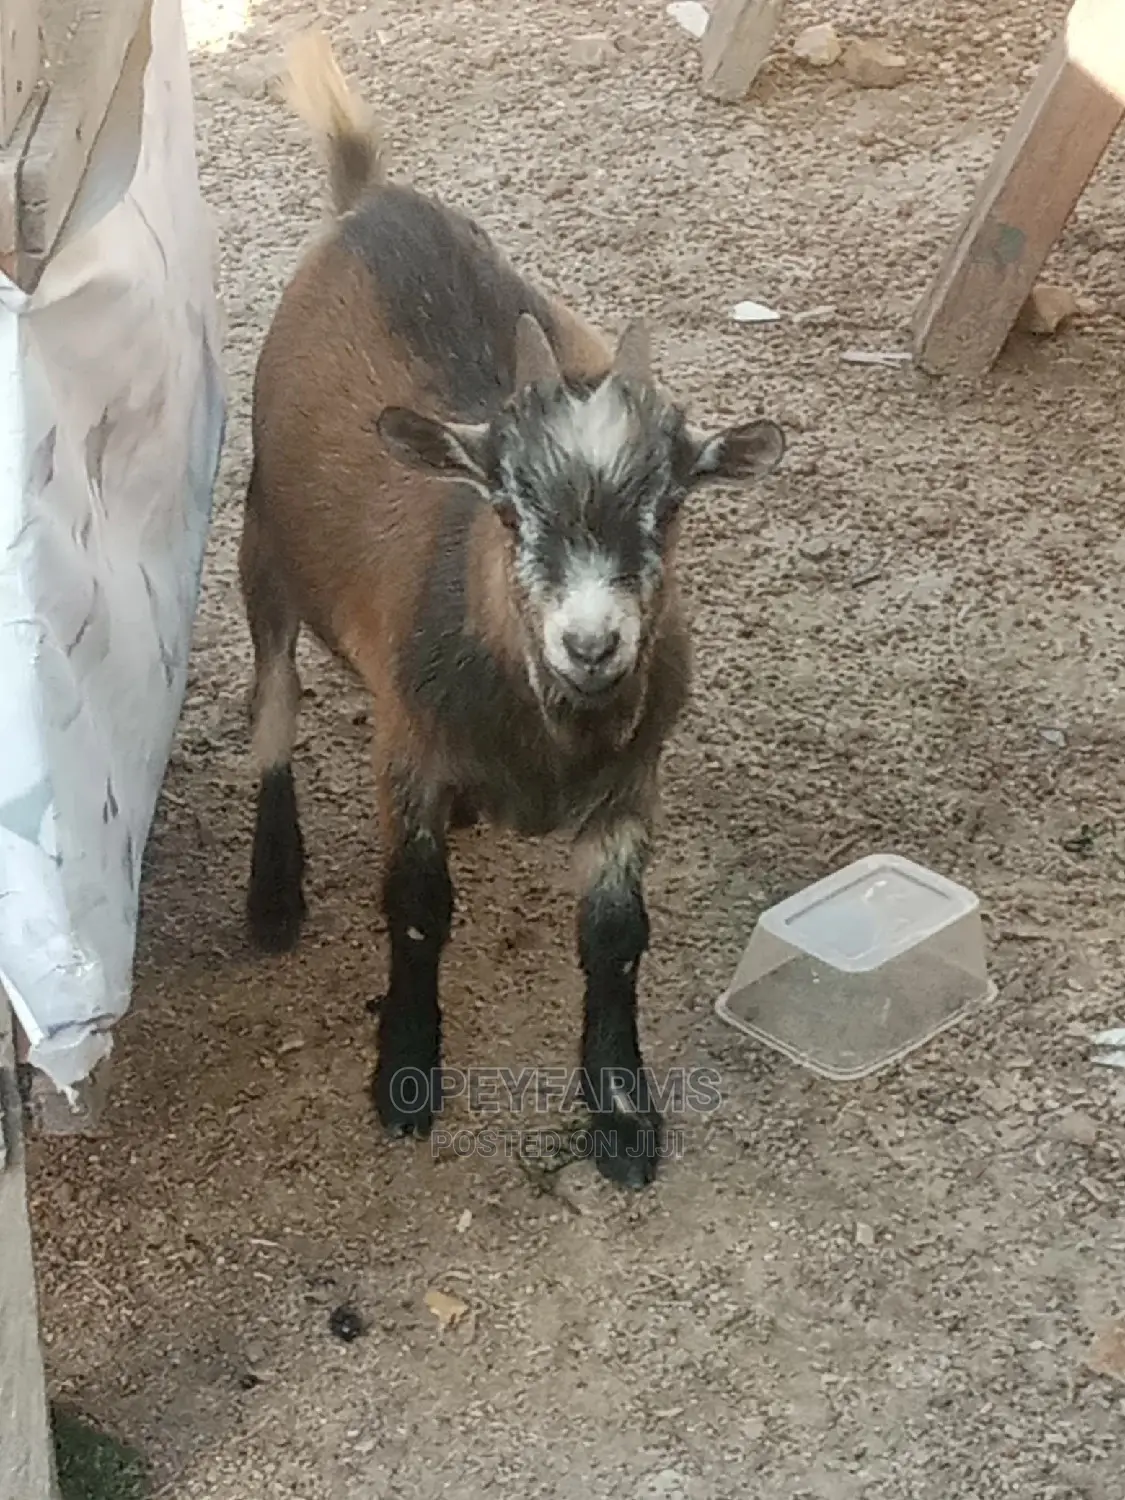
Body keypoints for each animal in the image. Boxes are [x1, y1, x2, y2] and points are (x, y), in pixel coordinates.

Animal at [238, 29, 786, 1188]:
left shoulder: (631, 781)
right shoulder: (408, 749)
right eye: (504, 505)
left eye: (672, 506)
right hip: (260, 542)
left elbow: (617, 936)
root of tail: (372, 196)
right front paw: (405, 1072)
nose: (591, 643)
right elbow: (414, 912)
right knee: (273, 700)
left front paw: (621, 1113)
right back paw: (273, 893)